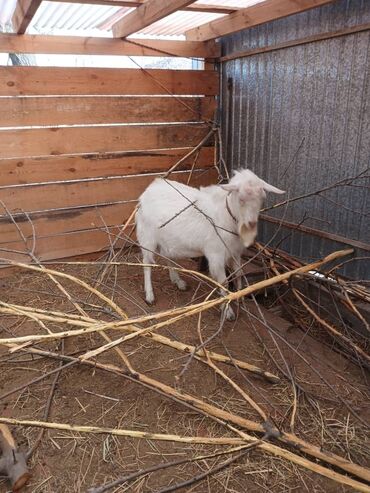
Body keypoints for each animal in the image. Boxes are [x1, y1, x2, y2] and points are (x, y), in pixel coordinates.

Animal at [135, 169, 284, 320]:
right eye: (241, 199)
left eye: (262, 200)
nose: (251, 224)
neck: (227, 215)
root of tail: (150, 189)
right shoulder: (216, 254)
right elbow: (224, 282)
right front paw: (227, 311)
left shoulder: (235, 252)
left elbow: (238, 274)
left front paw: (240, 298)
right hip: (147, 237)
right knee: (147, 264)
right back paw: (150, 295)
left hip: (167, 239)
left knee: (167, 256)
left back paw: (178, 281)